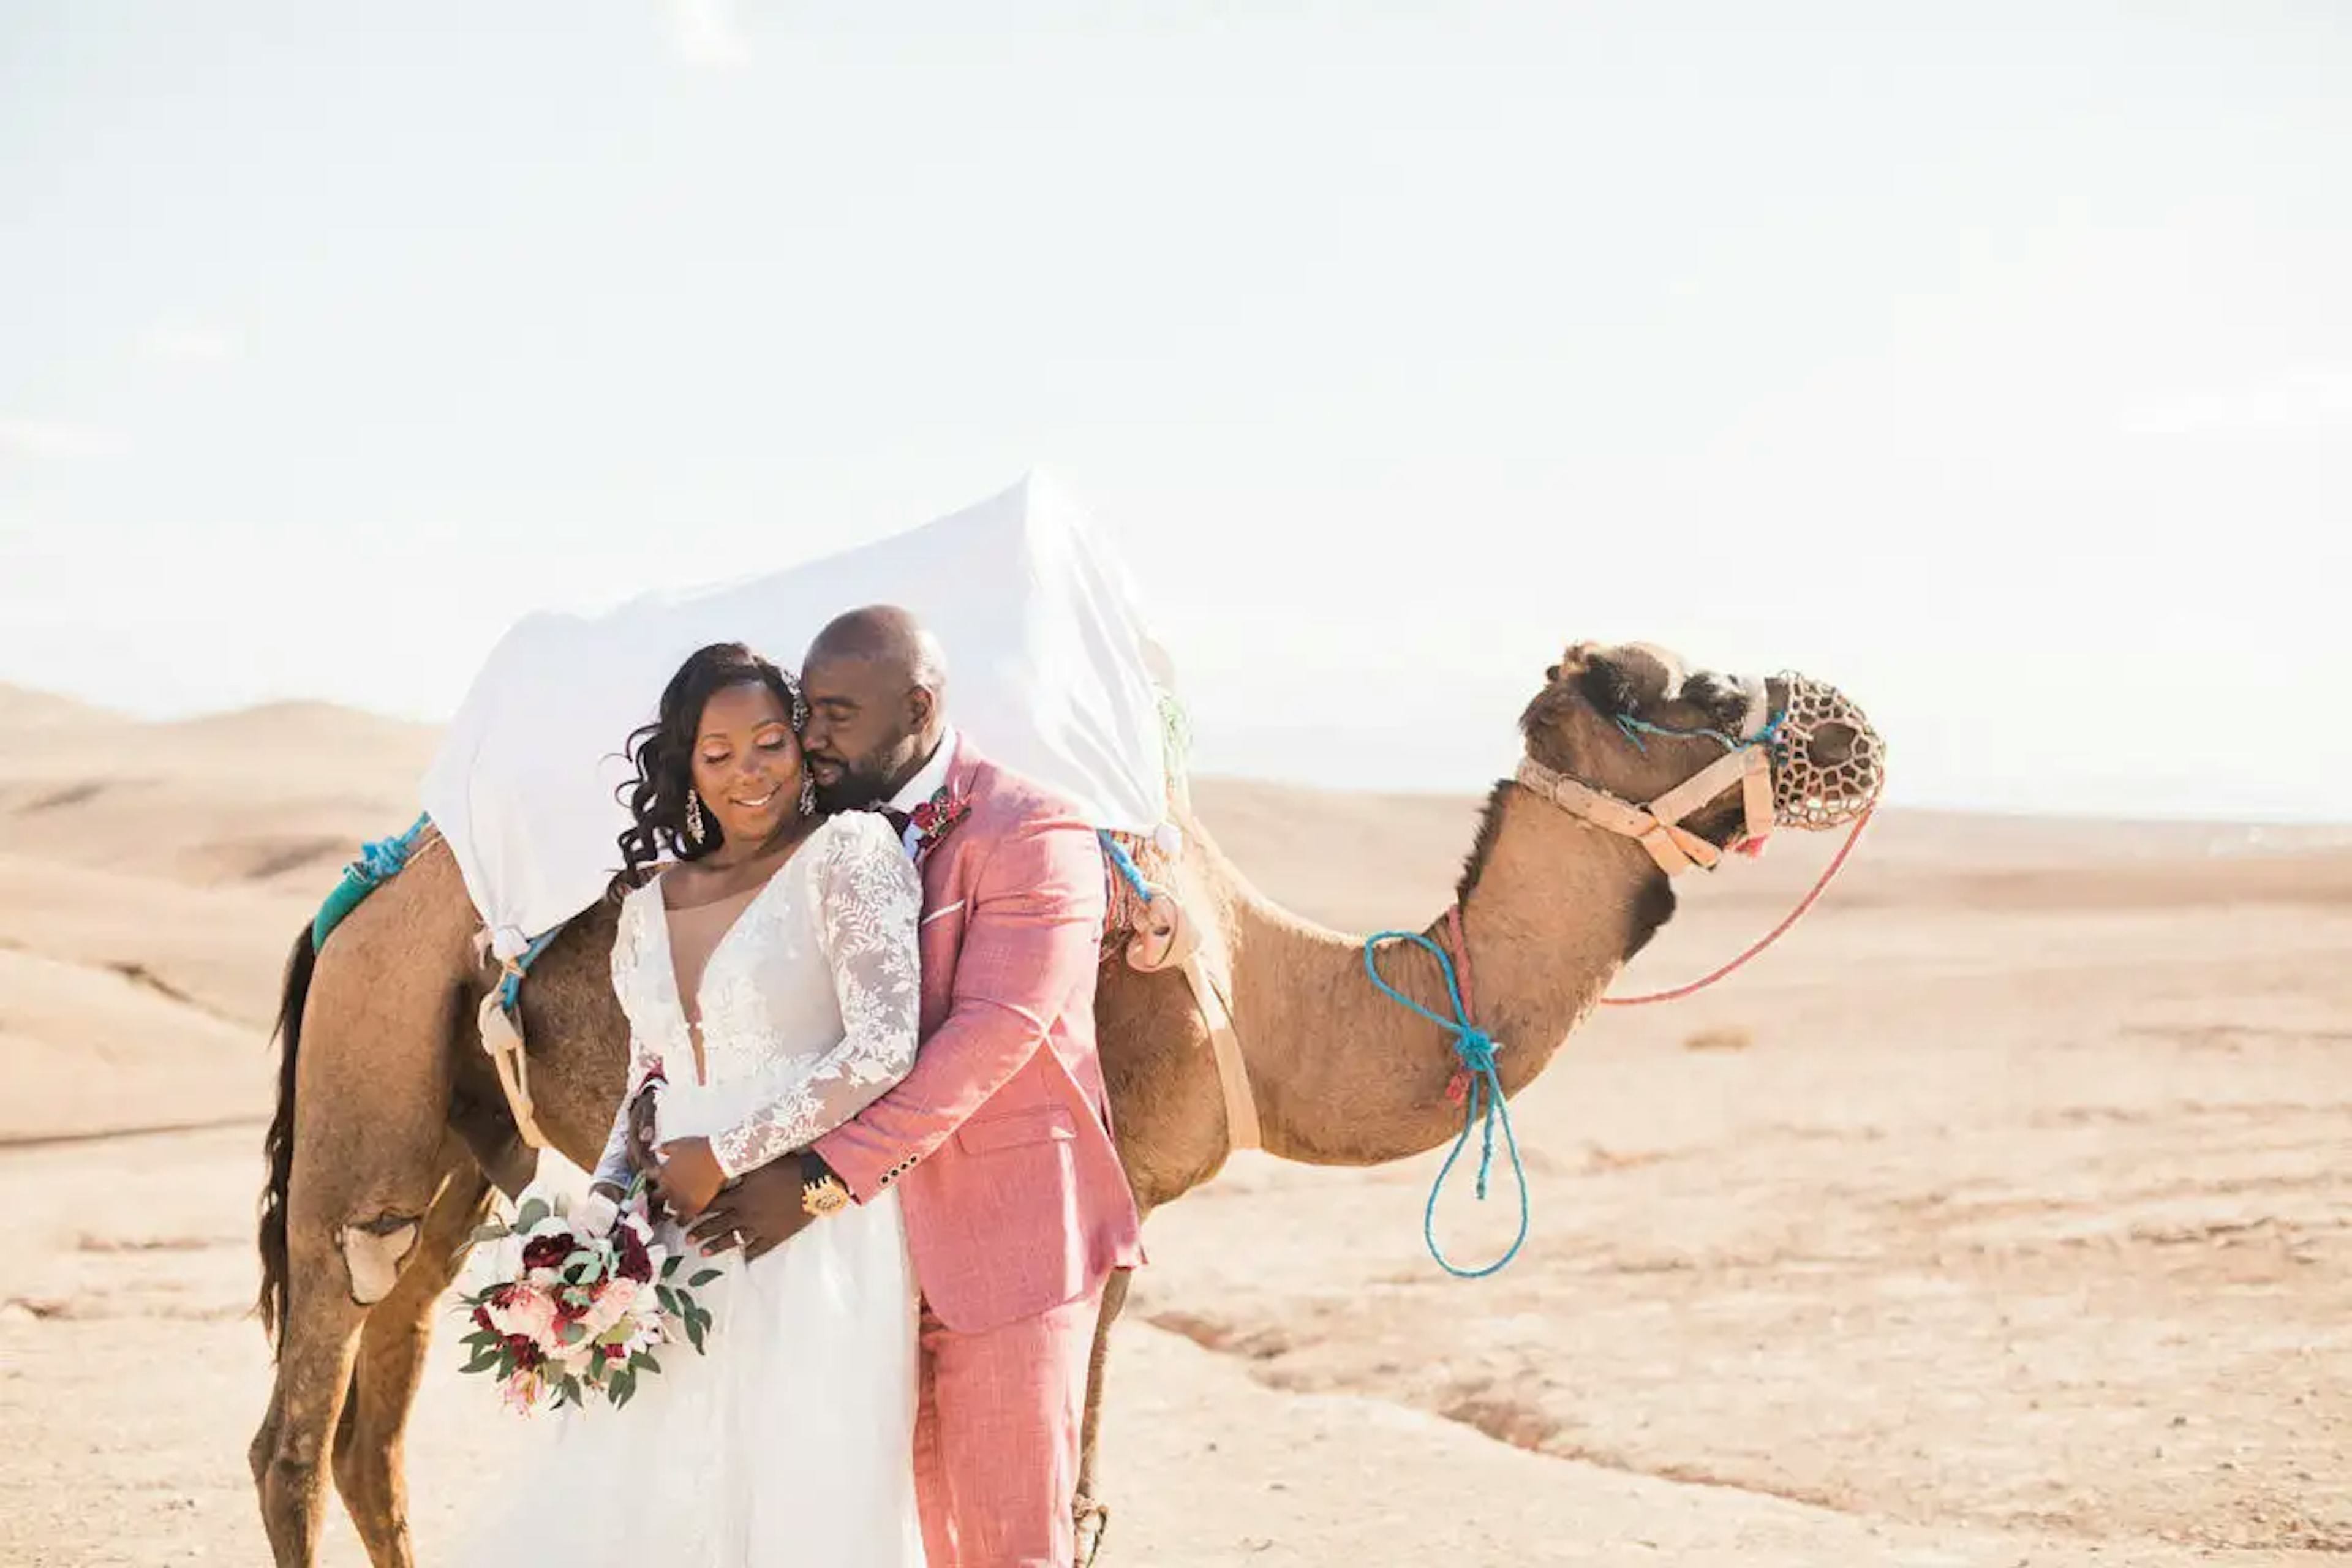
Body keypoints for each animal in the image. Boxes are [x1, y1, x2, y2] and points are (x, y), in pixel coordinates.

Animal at [252, 639, 1872, 1568]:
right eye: (1684, 693)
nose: (1847, 719)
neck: (1262, 991)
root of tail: (362, 887)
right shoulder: (1107, 1215)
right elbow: (1052, 1499)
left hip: (461, 1157)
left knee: (377, 1429)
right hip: (367, 1101)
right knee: (298, 1430)